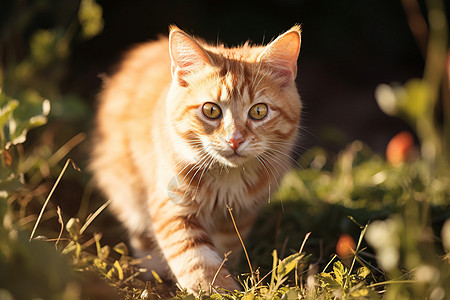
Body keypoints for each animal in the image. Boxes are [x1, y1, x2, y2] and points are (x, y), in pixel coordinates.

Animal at [90, 25, 302, 292]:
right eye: (211, 110)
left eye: (259, 111)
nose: (234, 140)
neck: (226, 180)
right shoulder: (171, 204)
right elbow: (196, 258)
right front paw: (216, 289)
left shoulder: (238, 215)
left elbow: (226, 248)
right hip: (126, 186)